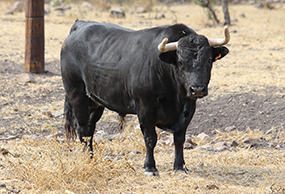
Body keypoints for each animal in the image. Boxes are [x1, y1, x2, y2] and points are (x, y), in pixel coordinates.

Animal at [60, 20, 229, 177]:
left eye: (208, 60)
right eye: (181, 62)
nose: (197, 89)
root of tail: (80, 25)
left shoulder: (188, 109)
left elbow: (179, 139)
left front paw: (179, 167)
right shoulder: (145, 108)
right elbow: (150, 138)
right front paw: (150, 168)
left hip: (95, 102)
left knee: (90, 128)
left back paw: (91, 156)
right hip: (76, 93)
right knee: (82, 129)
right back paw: (87, 158)